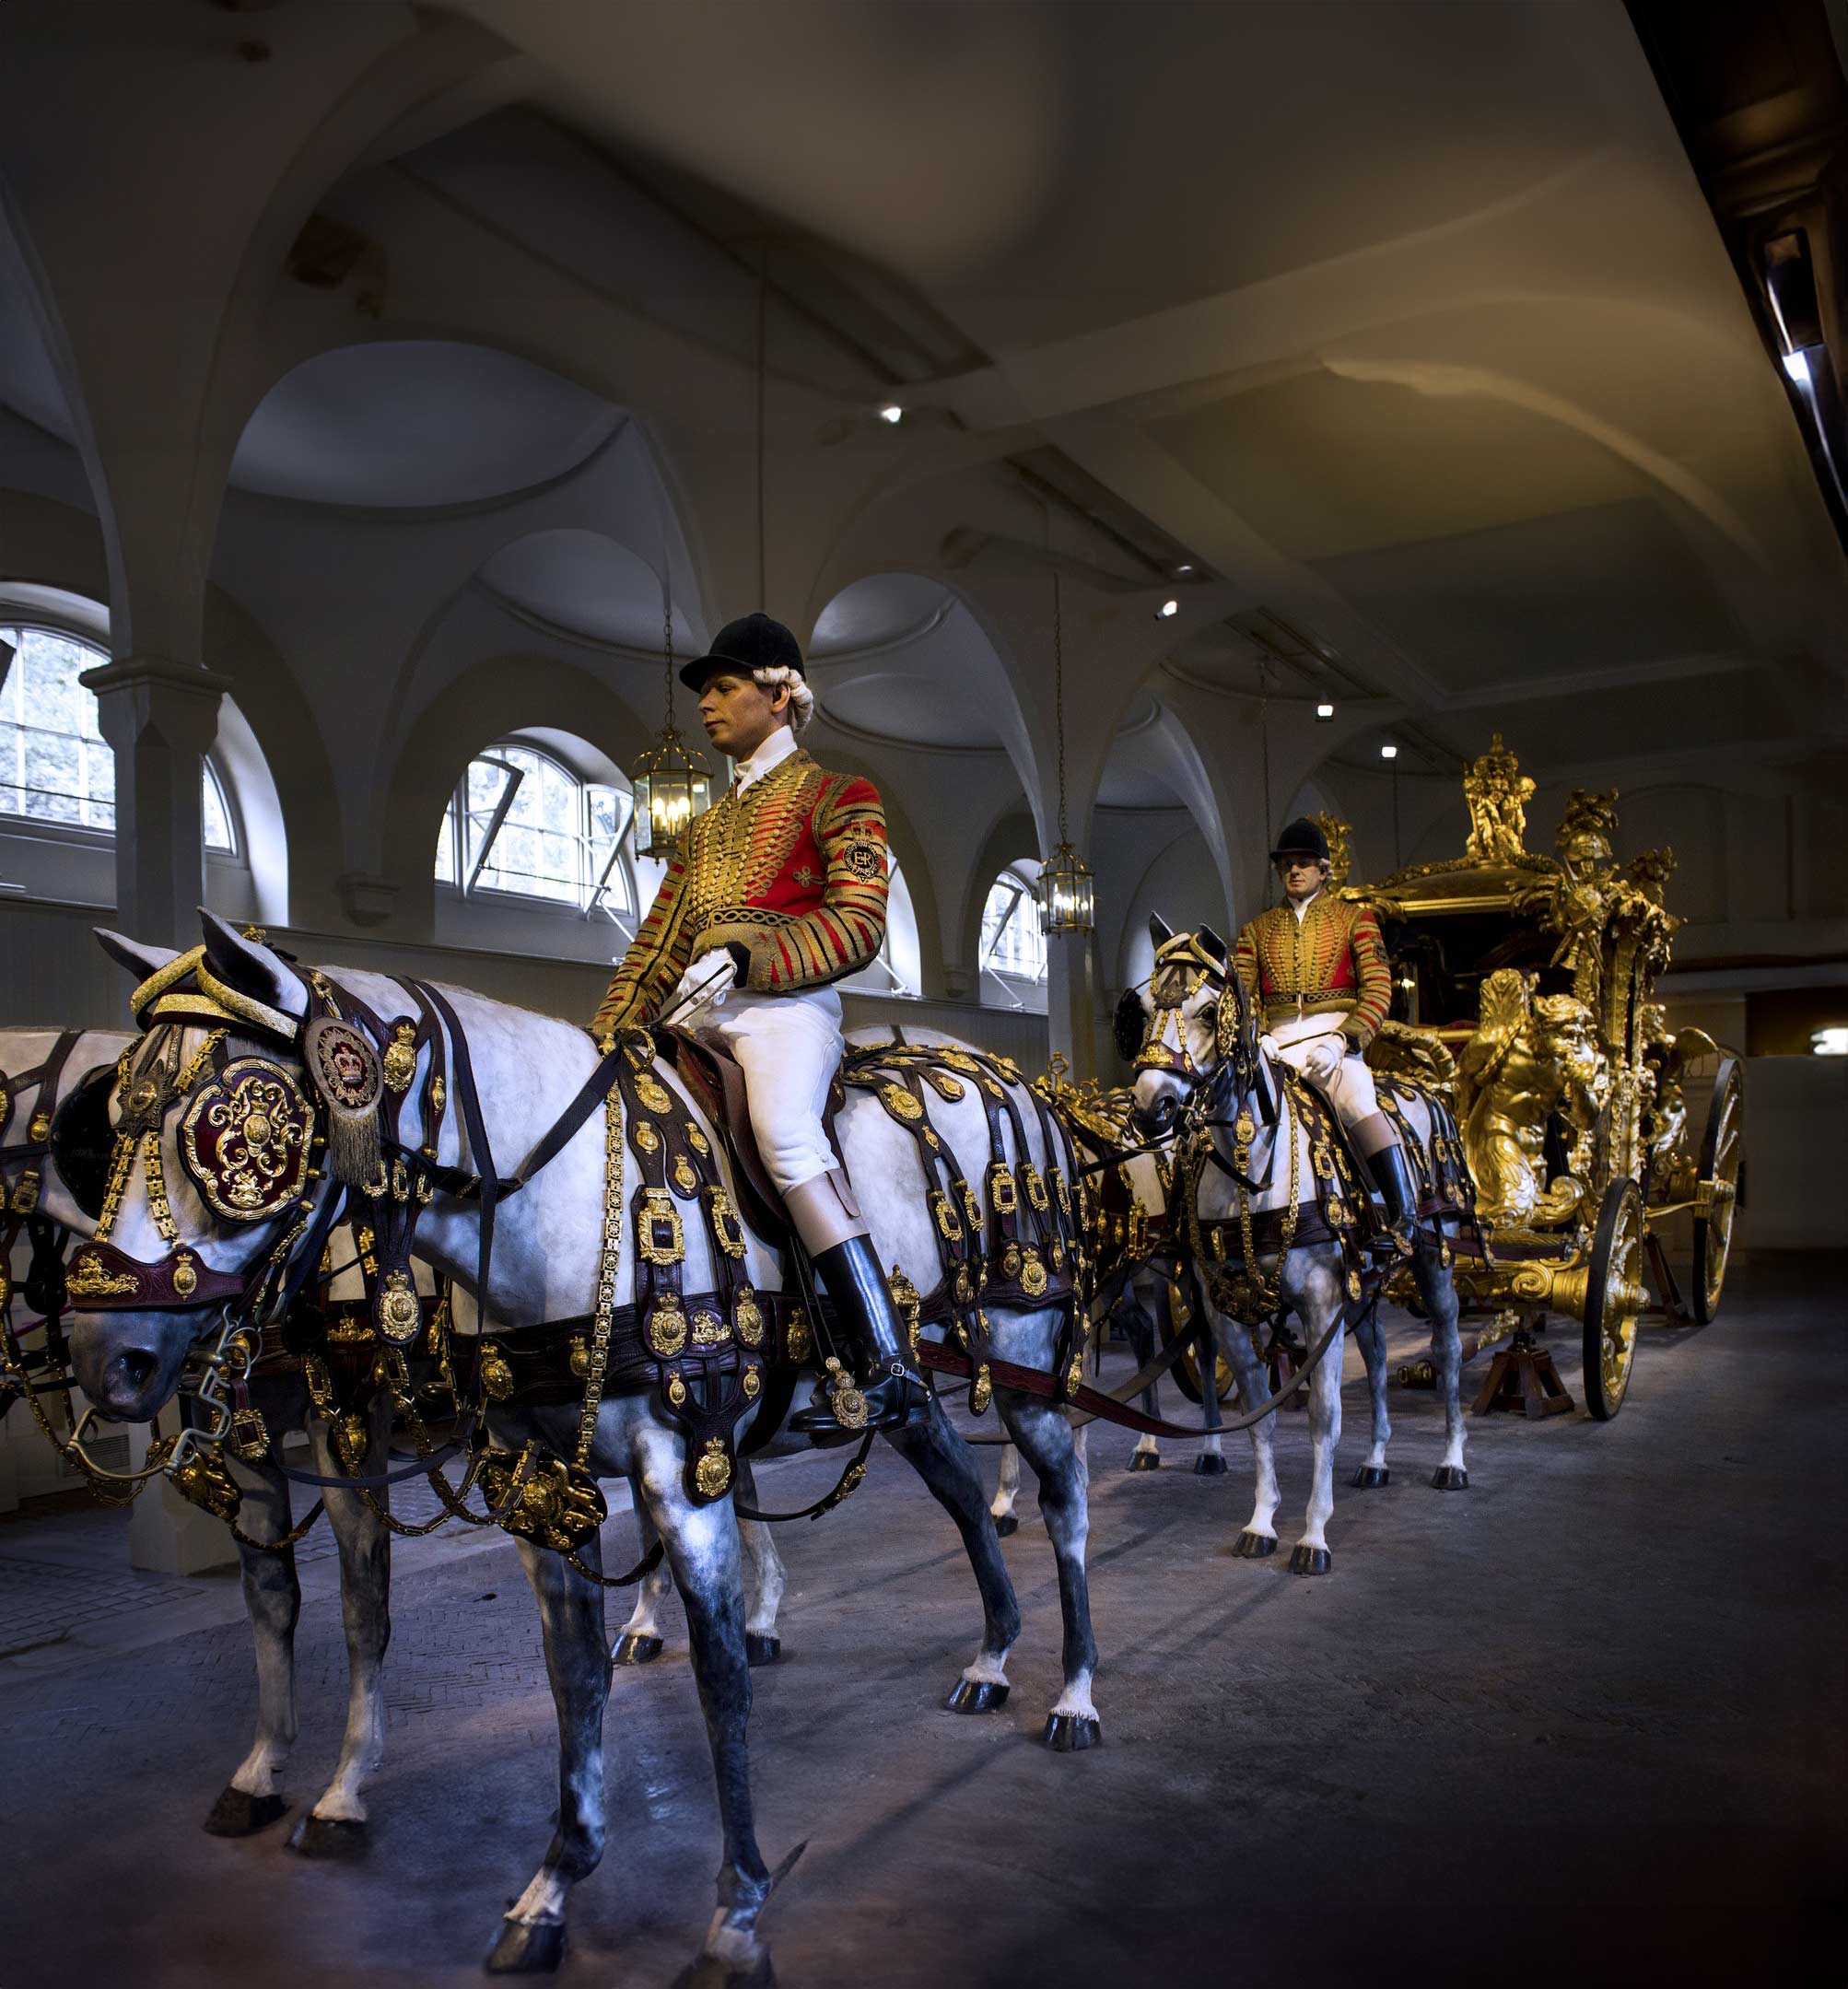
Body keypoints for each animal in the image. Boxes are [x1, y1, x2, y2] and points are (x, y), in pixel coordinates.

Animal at [64, 918, 1090, 1989]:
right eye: (110, 1122)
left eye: (234, 1126)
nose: (106, 1355)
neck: (551, 1200)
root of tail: (1015, 1081)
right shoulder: (527, 1480)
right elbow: (562, 1672)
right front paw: (550, 1882)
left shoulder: (665, 1471)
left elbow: (713, 1676)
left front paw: (737, 1911)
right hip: (911, 1385)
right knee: (964, 1492)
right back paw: (992, 1653)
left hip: (1024, 1345)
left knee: (1063, 1496)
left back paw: (1073, 1692)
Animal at [1129, 922, 1464, 1574]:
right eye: (1146, 1008)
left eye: (1206, 1011)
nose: (1150, 1107)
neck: (1251, 1171)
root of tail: (1427, 1092)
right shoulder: (1227, 1310)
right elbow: (1258, 1412)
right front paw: (1262, 1521)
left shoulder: (1318, 1303)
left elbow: (1322, 1418)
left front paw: (1313, 1535)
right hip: (1363, 1285)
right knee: (1379, 1354)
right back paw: (1377, 1461)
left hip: (1434, 1262)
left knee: (1448, 1348)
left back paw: (1452, 1461)